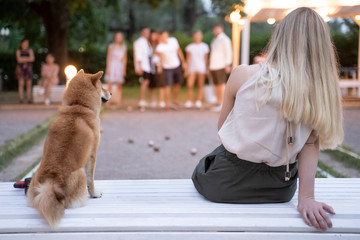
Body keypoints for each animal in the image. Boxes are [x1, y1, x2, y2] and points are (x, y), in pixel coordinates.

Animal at [28, 69, 110, 227]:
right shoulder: (92, 155)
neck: (78, 106)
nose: (111, 92)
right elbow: (91, 180)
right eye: (102, 86)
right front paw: (95, 193)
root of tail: (52, 181)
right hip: (80, 173)